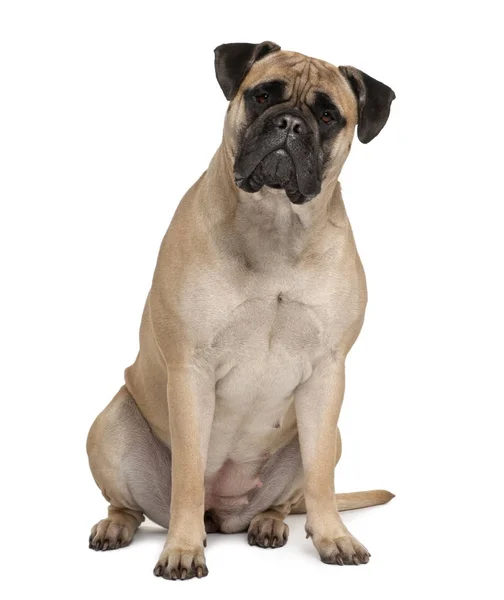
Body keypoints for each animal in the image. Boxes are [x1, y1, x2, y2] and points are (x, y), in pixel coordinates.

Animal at [86, 39, 398, 580]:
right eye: (262, 95)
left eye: (328, 115)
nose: (290, 124)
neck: (276, 222)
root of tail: (226, 514)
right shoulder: (190, 371)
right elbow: (188, 474)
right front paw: (182, 549)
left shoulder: (327, 374)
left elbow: (321, 478)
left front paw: (334, 537)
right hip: (108, 426)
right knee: (128, 505)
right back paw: (116, 527)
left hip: (329, 436)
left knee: (290, 497)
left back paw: (270, 523)